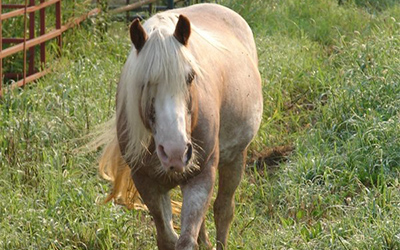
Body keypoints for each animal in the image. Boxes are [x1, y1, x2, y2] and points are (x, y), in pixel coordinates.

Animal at [99, 2, 264, 250]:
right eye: (144, 83)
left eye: (190, 77)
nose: (175, 153)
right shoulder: (147, 183)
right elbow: (167, 237)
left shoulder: (202, 175)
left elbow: (187, 239)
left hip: (235, 158)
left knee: (223, 210)